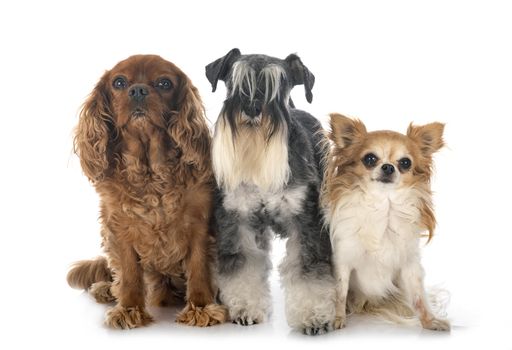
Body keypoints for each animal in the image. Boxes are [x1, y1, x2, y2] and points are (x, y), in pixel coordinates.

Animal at [67, 54, 227, 328]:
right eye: (119, 82)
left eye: (164, 83)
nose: (138, 90)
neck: (150, 170)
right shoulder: (119, 228)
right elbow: (129, 273)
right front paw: (129, 310)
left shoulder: (200, 225)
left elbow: (199, 269)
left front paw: (201, 308)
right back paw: (105, 289)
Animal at [206, 47, 338, 334]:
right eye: (234, 81)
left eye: (279, 84)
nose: (252, 107)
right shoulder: (238, 219)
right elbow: (245, 265)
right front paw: (246, 308)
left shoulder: (306, 221)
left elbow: (308, 269)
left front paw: (313, 316)